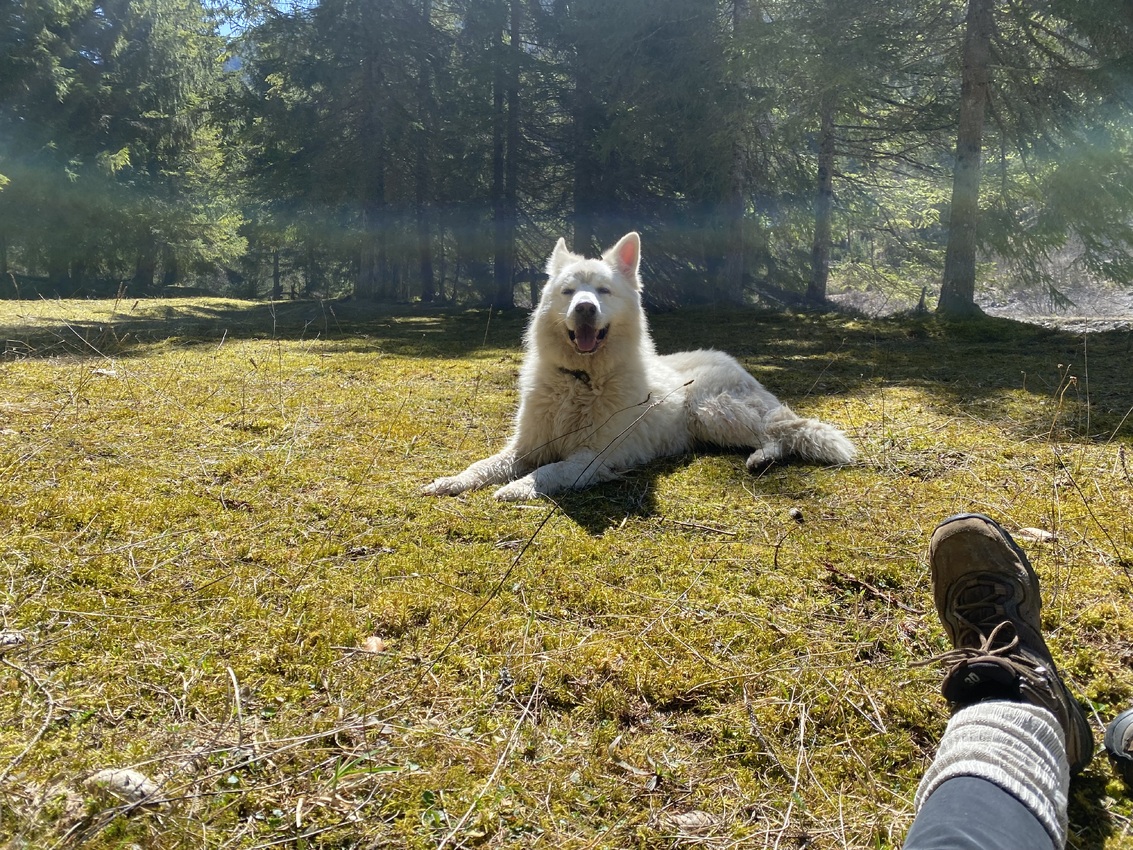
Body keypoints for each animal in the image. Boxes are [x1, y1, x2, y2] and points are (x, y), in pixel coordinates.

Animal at [426, 230, 852, 503]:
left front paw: (518, 488)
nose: (584, 308)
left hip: (712, 412)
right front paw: (451, 481)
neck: (582, 379)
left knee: (777, 434)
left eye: (603, 291)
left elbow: (549, 472)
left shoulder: (591, 457)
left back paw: (762, 457)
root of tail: (730, 360)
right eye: (568, 291)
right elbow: (483, 465)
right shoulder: (526, 447)